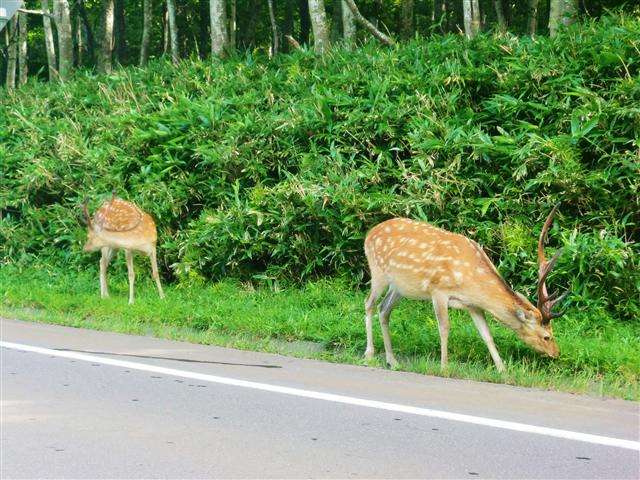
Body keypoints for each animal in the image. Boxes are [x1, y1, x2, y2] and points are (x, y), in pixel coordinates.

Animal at [363, 205, 567, 373]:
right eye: (546, 336)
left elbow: (487, 335)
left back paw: (392, 361)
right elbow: (444, 327)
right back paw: (369, 355)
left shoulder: (473, 305)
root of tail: (368, 234)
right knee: (369, 304)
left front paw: (502, 369)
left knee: (384, 309)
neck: (470, 282)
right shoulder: (438, 290)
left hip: (399, 287)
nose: (557, 353)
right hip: (378, 272)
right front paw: (444, 367)